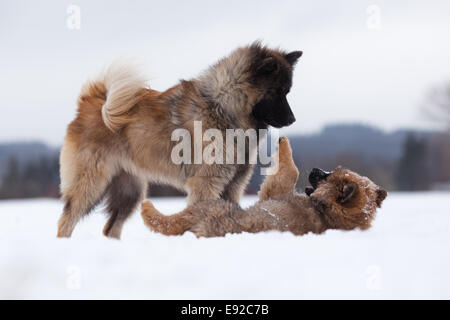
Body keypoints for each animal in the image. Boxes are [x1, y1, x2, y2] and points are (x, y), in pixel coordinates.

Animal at [56, 42, 302, 238]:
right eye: (278, 92)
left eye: (287, 91)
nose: (292, 119)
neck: (222, 107)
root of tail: (90, 102)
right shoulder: (207, 182)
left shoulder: (233, 184)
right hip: (90, 185)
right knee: (66, 221)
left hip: (129, 192)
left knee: (110, 229)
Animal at [141, 138, 386, 238]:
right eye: (334, 170)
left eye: (329, 176)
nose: (315, 169)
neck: (326, 212)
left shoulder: (276, 188)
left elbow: (291, 170)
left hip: (208, 206)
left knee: (165, 219)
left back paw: (148, 207)